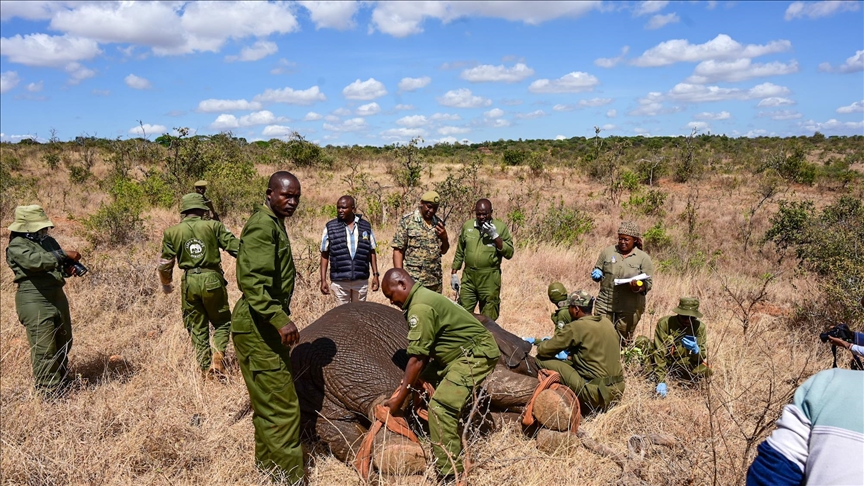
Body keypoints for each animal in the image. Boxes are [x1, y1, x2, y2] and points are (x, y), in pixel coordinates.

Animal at [294, 300, 544, 464]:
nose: (537, 363)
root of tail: (308, 360)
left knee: (340, 430)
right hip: (355, 360)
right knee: (387, 402)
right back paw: (404, 459)